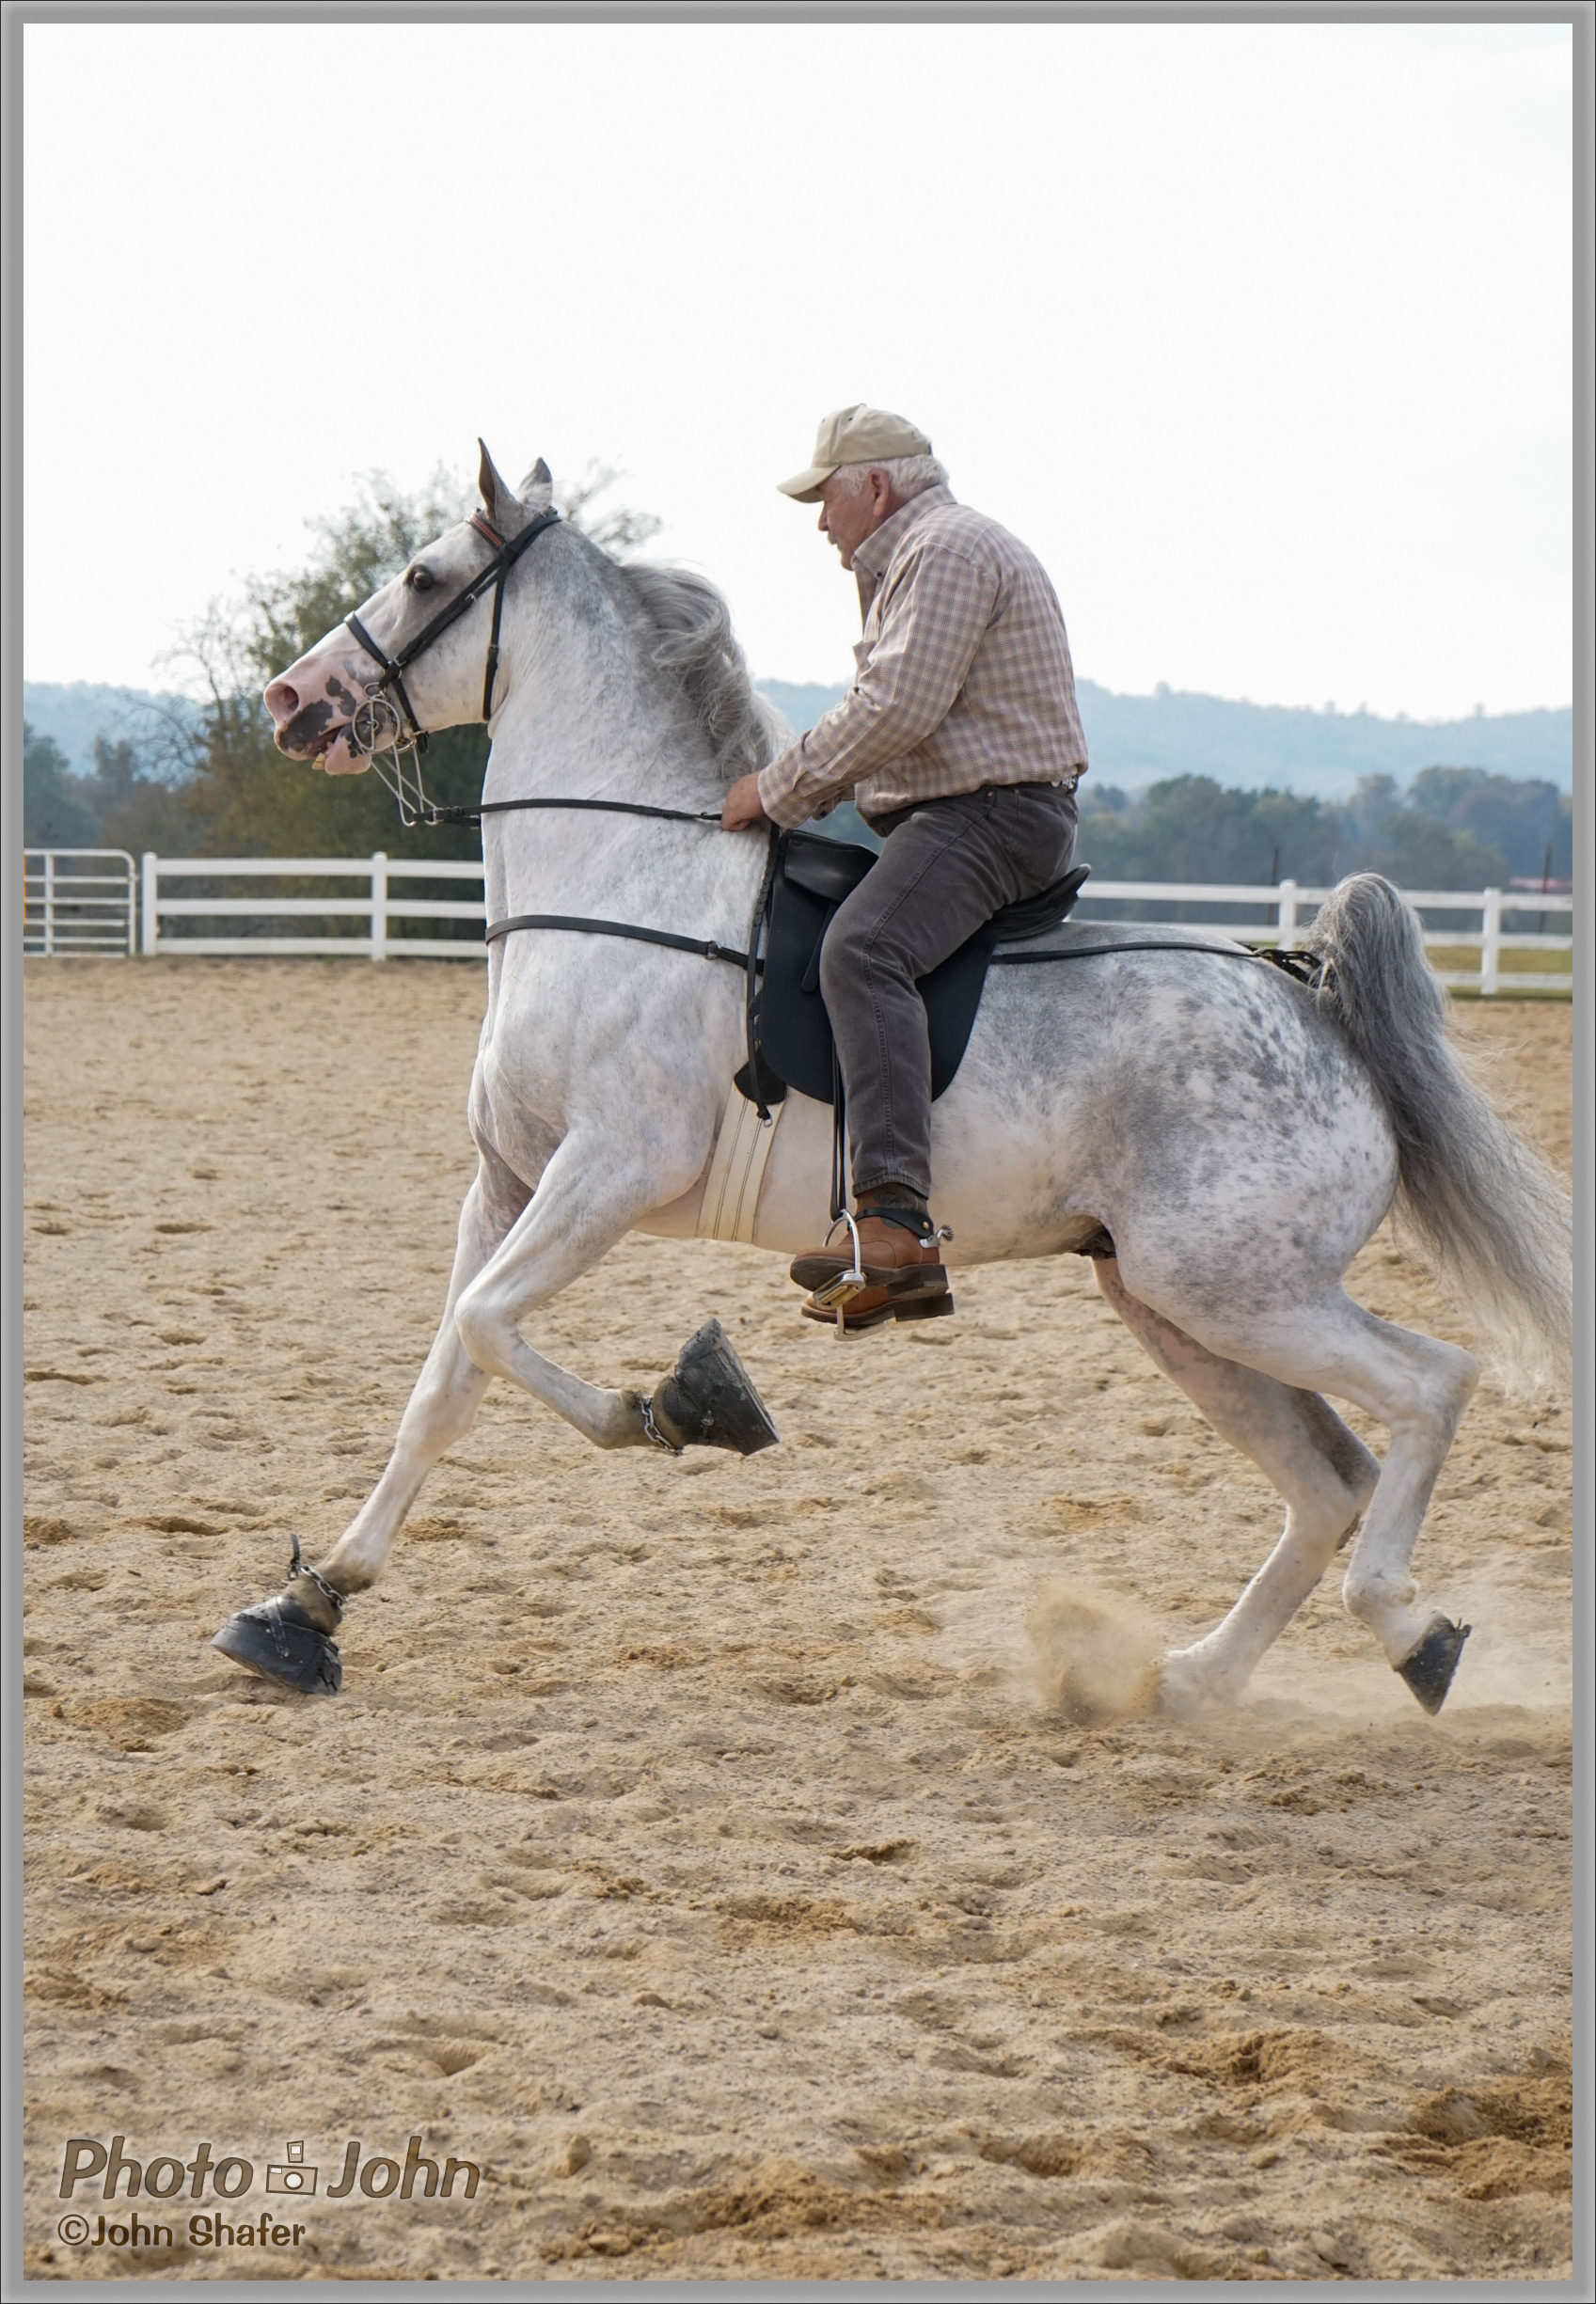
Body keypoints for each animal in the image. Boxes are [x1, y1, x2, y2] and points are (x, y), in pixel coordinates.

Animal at [212, 444, 1566, 1713]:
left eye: (421, 575)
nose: (289, 696)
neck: (617, 879)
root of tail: (1310, 1000)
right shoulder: (504, 1181)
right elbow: (447, 1376)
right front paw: (306, 1606)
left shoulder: (609, 1167)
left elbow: (493, 1327)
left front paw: (685, 1402)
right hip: (1178, 1304)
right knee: (1326, 1480)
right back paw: (1188, 1679)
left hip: (1238, 1291)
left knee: (1429, 1389)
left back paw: (1403, 1626)